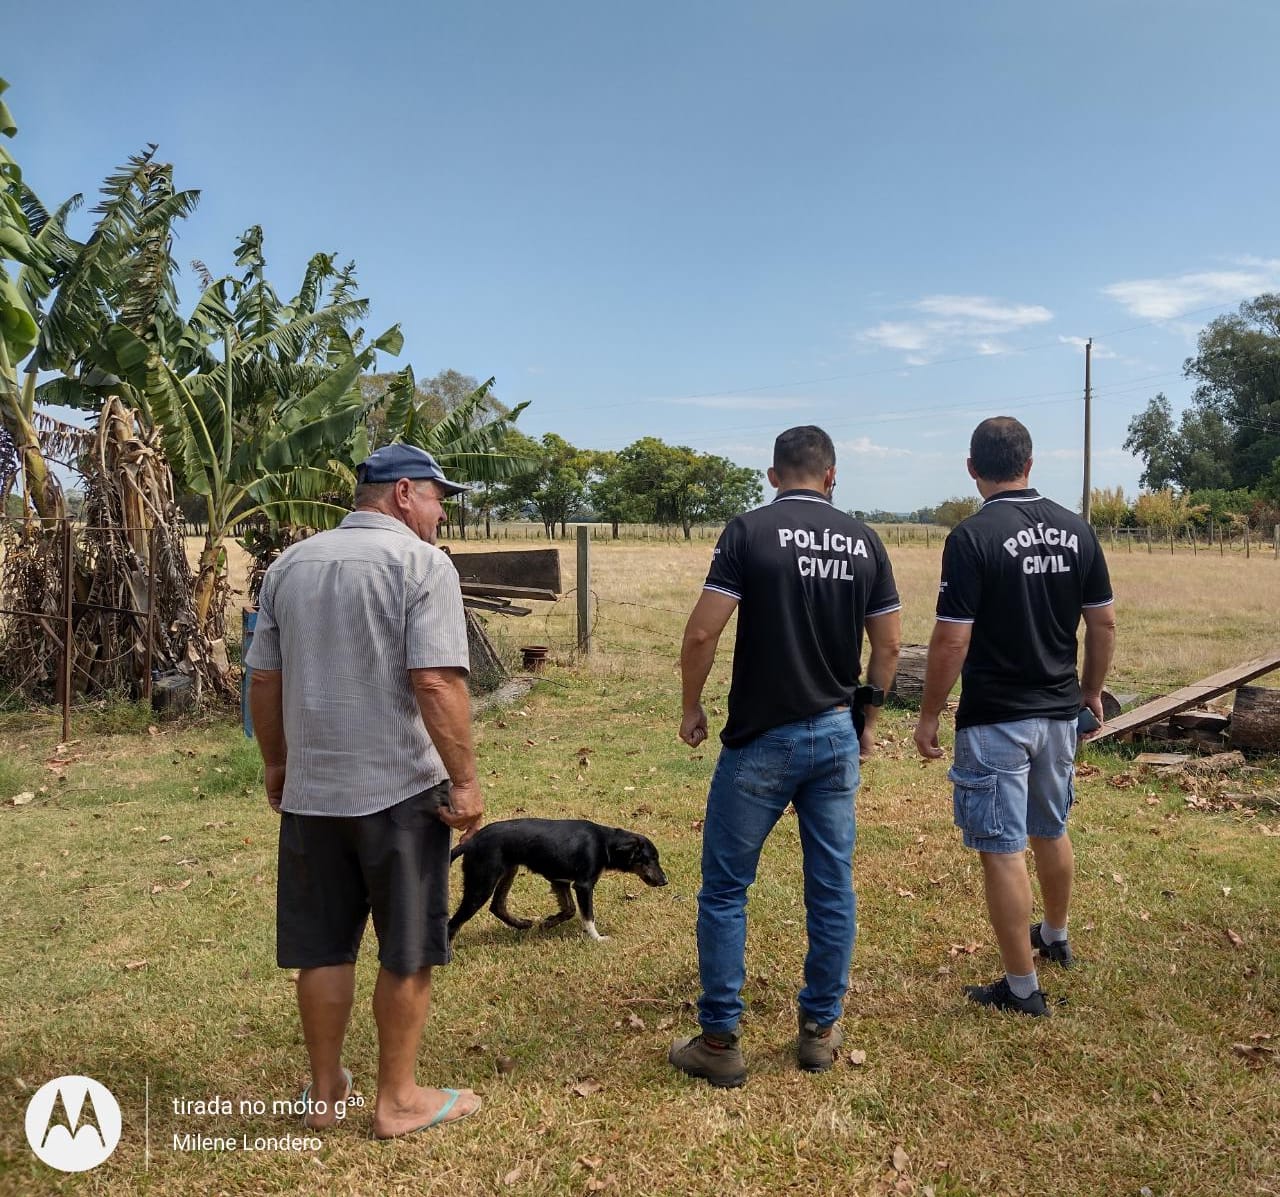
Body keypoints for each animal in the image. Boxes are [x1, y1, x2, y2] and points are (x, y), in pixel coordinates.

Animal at [450, 819, 670, 942]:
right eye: (651, 859)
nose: (665, 881)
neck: (605, 843)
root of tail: (470, 842)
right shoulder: (583, 885)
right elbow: (587, 916)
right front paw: (598, 939)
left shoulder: (559, 881)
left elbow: (570, 909)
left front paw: (548, 923)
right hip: (481, 883)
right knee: (453, 923)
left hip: (508, 872)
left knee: (497, 906)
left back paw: (522, 924)